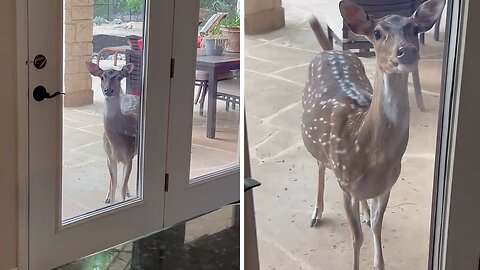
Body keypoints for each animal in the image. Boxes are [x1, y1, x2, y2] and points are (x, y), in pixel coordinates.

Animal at [302, 1, 444, 268]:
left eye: (414, 28)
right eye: (377, 33)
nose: (406, 51)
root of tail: (330, 51)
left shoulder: (387, 186)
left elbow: (377, 228)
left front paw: (379, 260)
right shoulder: (345, 183)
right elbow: (356, 238)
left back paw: (365, 213)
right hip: (319, 148)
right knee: (319, 167)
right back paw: (316, 214)